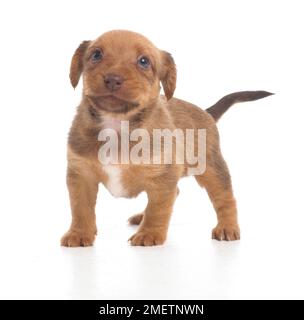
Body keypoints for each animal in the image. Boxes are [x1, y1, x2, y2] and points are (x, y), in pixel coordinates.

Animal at [60, 30, 272, 248]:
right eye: (96, 55)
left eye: (144, 61)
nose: (112, 79)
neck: (117, 124)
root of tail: (206, 112)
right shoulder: (81, 176)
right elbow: (81, 209)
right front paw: (79, 233)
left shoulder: (163, 177)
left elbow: (158, 209)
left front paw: (149, 233)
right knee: (176, 193)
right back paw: (141, 217)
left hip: (212, 170)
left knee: (225, 198)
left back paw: (227, 227)